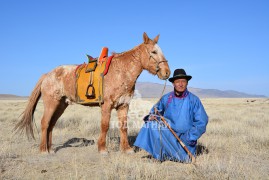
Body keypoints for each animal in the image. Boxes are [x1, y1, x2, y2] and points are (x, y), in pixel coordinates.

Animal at [14, 32, 170, 153]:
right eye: (154, 52)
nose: (166, 72)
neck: (120, 71)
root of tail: (47, 75)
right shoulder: (106, 105)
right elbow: (105, 125)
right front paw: (102, 149)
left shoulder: (123, 105)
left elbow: (123, 126)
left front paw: (127, 149)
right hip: (51, 103)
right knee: (45, 123)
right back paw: (43, 150)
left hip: (61, 105)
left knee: (51, 124)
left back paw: (51, 149)